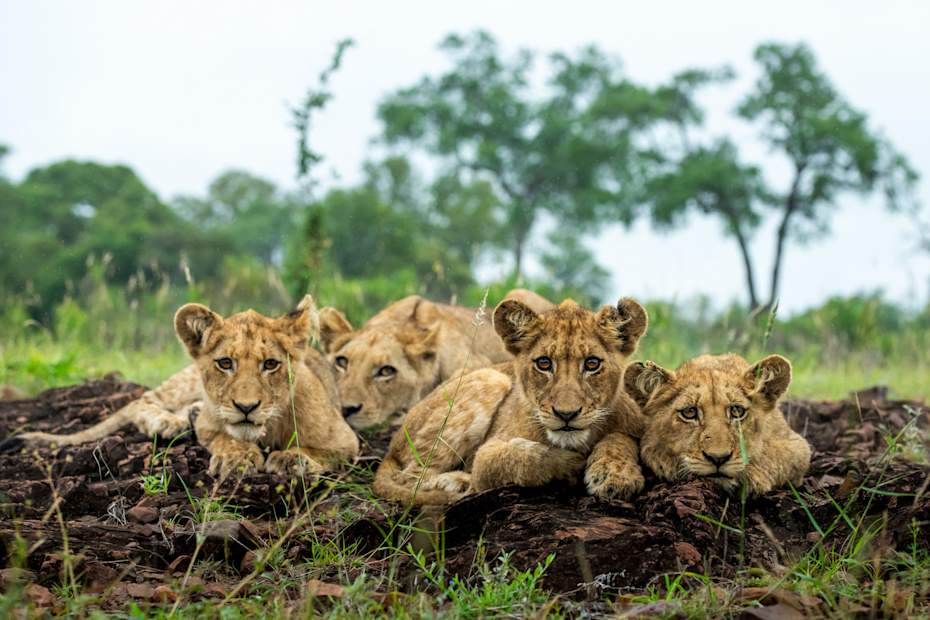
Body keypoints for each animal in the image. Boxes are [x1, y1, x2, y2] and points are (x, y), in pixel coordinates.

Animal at [1, 296, 360, 480]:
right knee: (141, 401)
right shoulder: (211, 426)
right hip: (183, 383)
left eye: (270, 364)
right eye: (225, 363)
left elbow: (316, 451)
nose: (246, 407)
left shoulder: (348, 440)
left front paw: (289, 460)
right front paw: (235, 459)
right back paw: (169, 422)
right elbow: (224, 438)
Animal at [372, 297, 648, 506]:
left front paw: (614, 477)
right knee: (410, 476)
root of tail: (394, 442)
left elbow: (620, 437)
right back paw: (458, 483)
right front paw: (571, 464)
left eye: (592, 364)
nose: (566, 414)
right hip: (491, 379)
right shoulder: (486, 456)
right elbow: (522, 457)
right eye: (544, 363)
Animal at [624, 353, 811, 498]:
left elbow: (773, 455)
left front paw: (751, 478)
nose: (718, 458)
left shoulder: (798, 446)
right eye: (690, 412)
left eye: (737, 411)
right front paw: (667, 465)